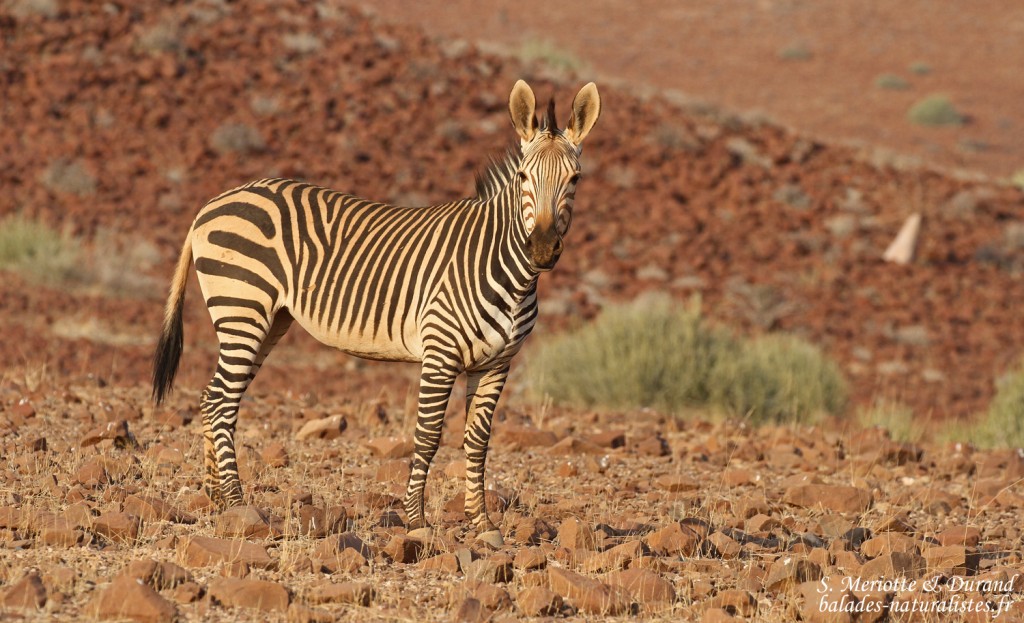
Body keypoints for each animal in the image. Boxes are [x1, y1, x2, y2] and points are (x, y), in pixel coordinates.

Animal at [152, 79, 601, 546]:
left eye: (575, 179)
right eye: (523, 177)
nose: (542, 249)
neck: (508, 272)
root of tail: (213, 203)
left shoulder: (497, 364)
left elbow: (478, 442)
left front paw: (482, 524)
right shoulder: (440, 354)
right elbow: (428, 436)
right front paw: (416, 520)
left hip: (268, 320)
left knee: (213, 398)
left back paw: (216, 497)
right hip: (242, 308)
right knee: (222, 400)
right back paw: (238, 503)